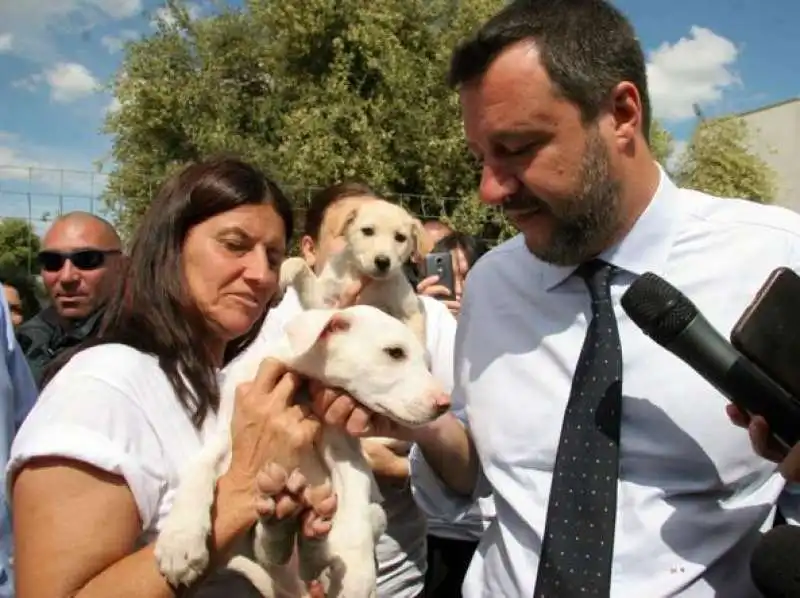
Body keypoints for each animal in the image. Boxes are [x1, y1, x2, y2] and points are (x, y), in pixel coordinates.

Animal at [153, 308, 446, 596]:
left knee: (328, 546)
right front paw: (179, 543)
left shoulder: (347, 455)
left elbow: (356, 522)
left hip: (374, 514)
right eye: (395, 352)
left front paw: (357, 580)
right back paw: (279, 527)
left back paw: (311, 548)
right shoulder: (227, 437)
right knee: (268, 553)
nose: (444, 404)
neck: (303, 388)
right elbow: (198, 471)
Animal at [282, 200, 432, 342]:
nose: (383, 261)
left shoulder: (411, 313)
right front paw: (287, 267)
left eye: (400, 237)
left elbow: (417, 342)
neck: (360, 274)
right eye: (367, 231)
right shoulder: (322, 302)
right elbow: (301, 264)